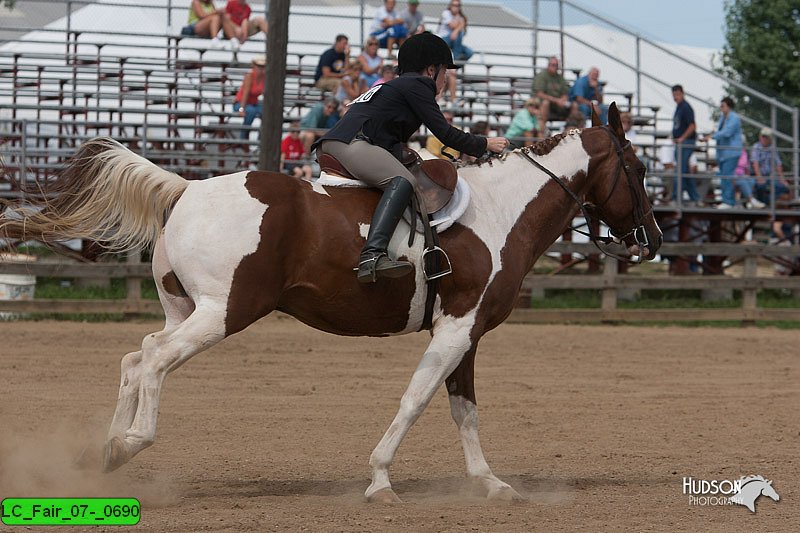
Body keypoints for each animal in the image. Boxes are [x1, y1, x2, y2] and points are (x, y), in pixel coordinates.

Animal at [1, 102, 664, 500]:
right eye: (636, 169)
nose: (653, 240)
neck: (500, 212)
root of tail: (185, 188)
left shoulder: (465, 331)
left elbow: (463, 409)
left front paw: (488, 483)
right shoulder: (455, 330)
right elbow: (416, 400)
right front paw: (380, 481)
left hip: (185, 310)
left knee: (137, 355)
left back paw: (106, 453)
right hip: (222, 313)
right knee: (158, 361)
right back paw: (131, 443)